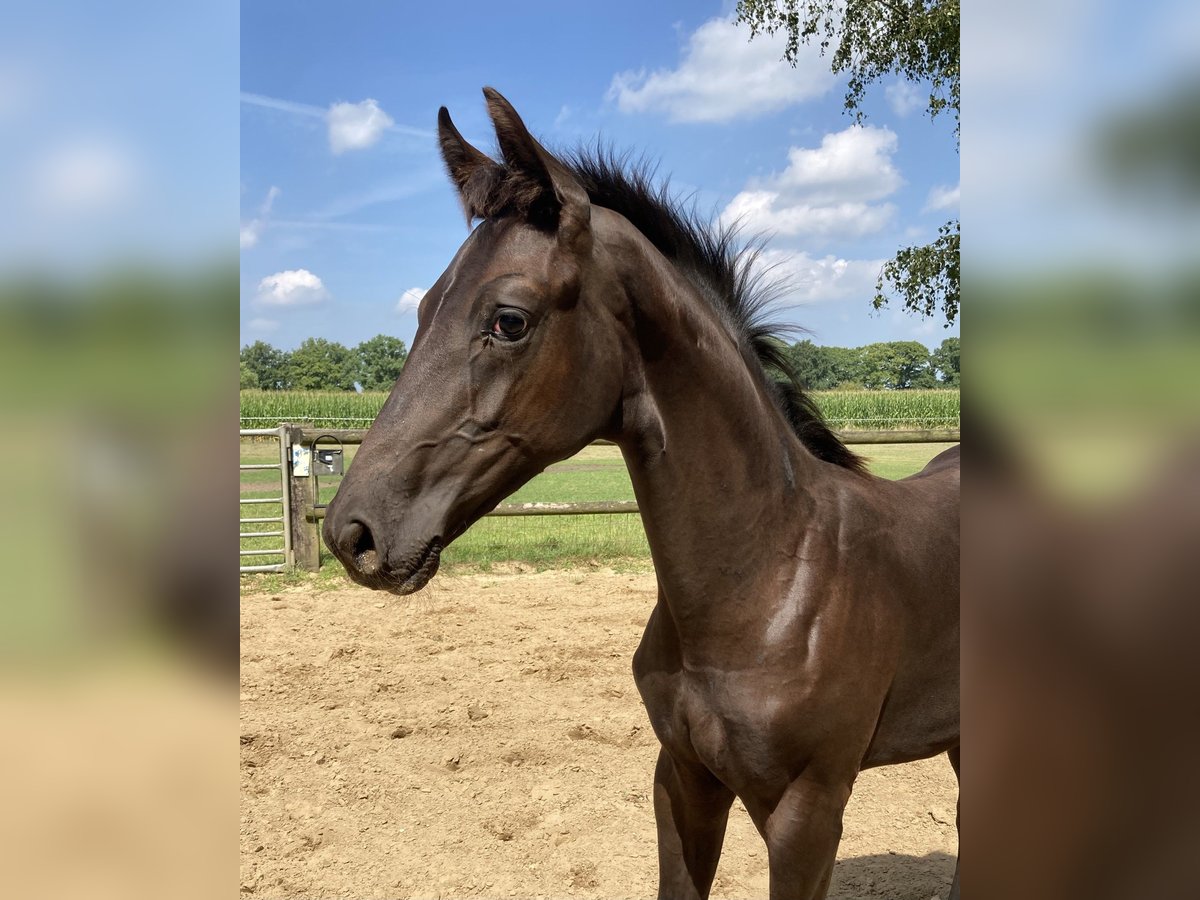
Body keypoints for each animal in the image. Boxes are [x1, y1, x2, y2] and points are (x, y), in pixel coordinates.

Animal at [323, 88, 960, 900]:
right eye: (423, 306)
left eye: (509, 320)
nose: (353, 532)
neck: (772, 579)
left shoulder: (809, 813)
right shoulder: (682, 779)